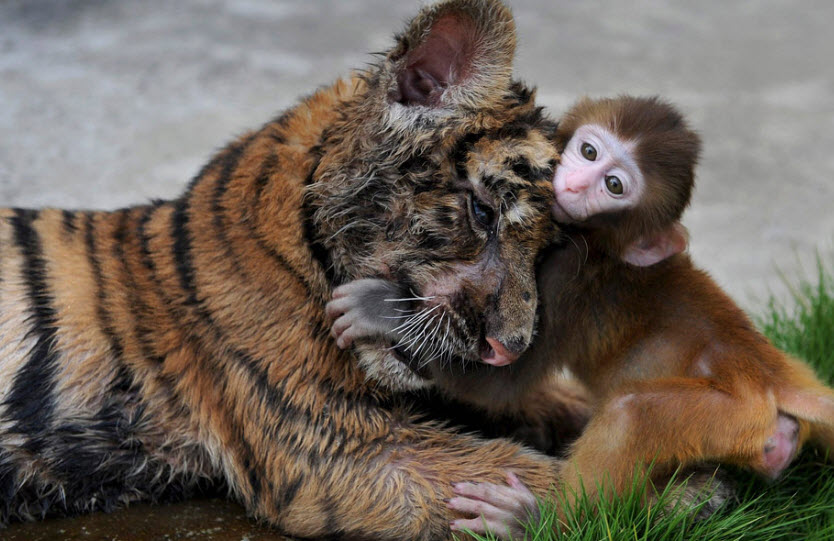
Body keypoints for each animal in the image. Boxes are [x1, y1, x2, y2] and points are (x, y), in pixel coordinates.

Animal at [326, 96, 834, 538]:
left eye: (614, 186)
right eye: (589, 151)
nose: (570, 185)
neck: (601, 244)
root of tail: (773, 374)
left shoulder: (564, 274)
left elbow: (499, 383)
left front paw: (381, 310)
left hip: (730, 414)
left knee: (632, 414)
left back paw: (537, 521)